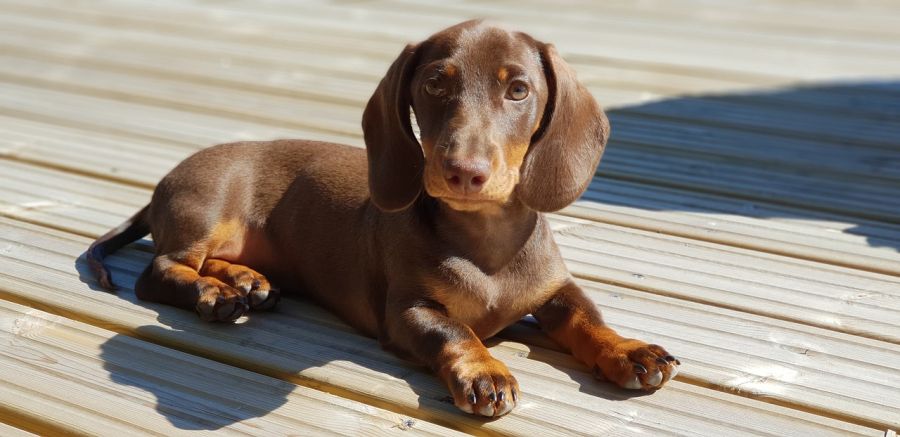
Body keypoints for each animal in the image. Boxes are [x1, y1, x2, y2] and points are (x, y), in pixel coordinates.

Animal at [88, 19, 680, 416]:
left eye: (519, 89)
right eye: (435, 84)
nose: (463, 171)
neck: (486, 243)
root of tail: (163, 184)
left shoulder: (556, 289)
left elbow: (587, 317)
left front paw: (629, 350)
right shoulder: (406, 311)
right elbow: (454, 329)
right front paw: (485, 370)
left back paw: (245, 280)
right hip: (207, 210)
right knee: (160, 270)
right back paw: (215, 293)